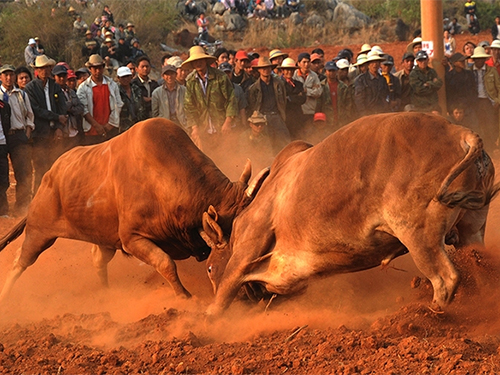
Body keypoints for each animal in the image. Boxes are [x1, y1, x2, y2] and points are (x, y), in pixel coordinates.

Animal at [0, 119, 270, 304]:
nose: (257, 291)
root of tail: (48, 176)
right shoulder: (132, 239)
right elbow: (165, 263)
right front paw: (185, 296)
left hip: (102, 238)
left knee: (98, 259)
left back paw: (107, 293)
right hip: (39, 231)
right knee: (21, 261)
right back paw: (7, 295)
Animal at [200, 112, 500, 318]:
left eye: (210, 268)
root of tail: (460, 133)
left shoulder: (247, 248)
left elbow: (223, 294)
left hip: (419, 236)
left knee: (445, 279)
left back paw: (427, 315)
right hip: (471, 230)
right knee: (480, 269)